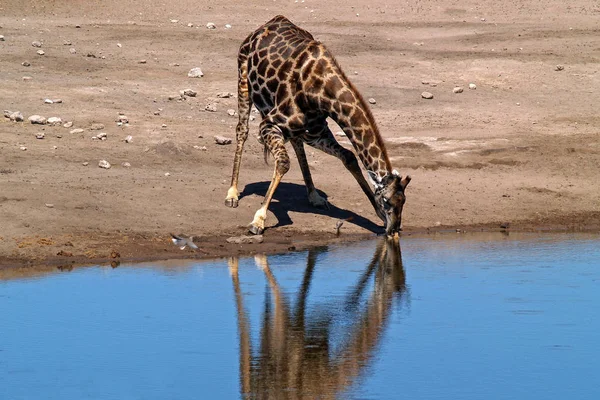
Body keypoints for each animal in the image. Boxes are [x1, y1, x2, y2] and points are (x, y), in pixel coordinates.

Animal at [225, 14, 412, 236]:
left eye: (403, 202)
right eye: (386, 200)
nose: (393, 229)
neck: (322, 91)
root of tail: (265, 24)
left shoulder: (317, 132)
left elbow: (349, 157)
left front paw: (379, 216)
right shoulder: (268, 125)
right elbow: (283, 162)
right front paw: (258, 220)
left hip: (301, 130)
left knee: (296, 142)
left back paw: (314, 196)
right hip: (243, 80)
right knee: (242, 130)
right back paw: (232, 194)